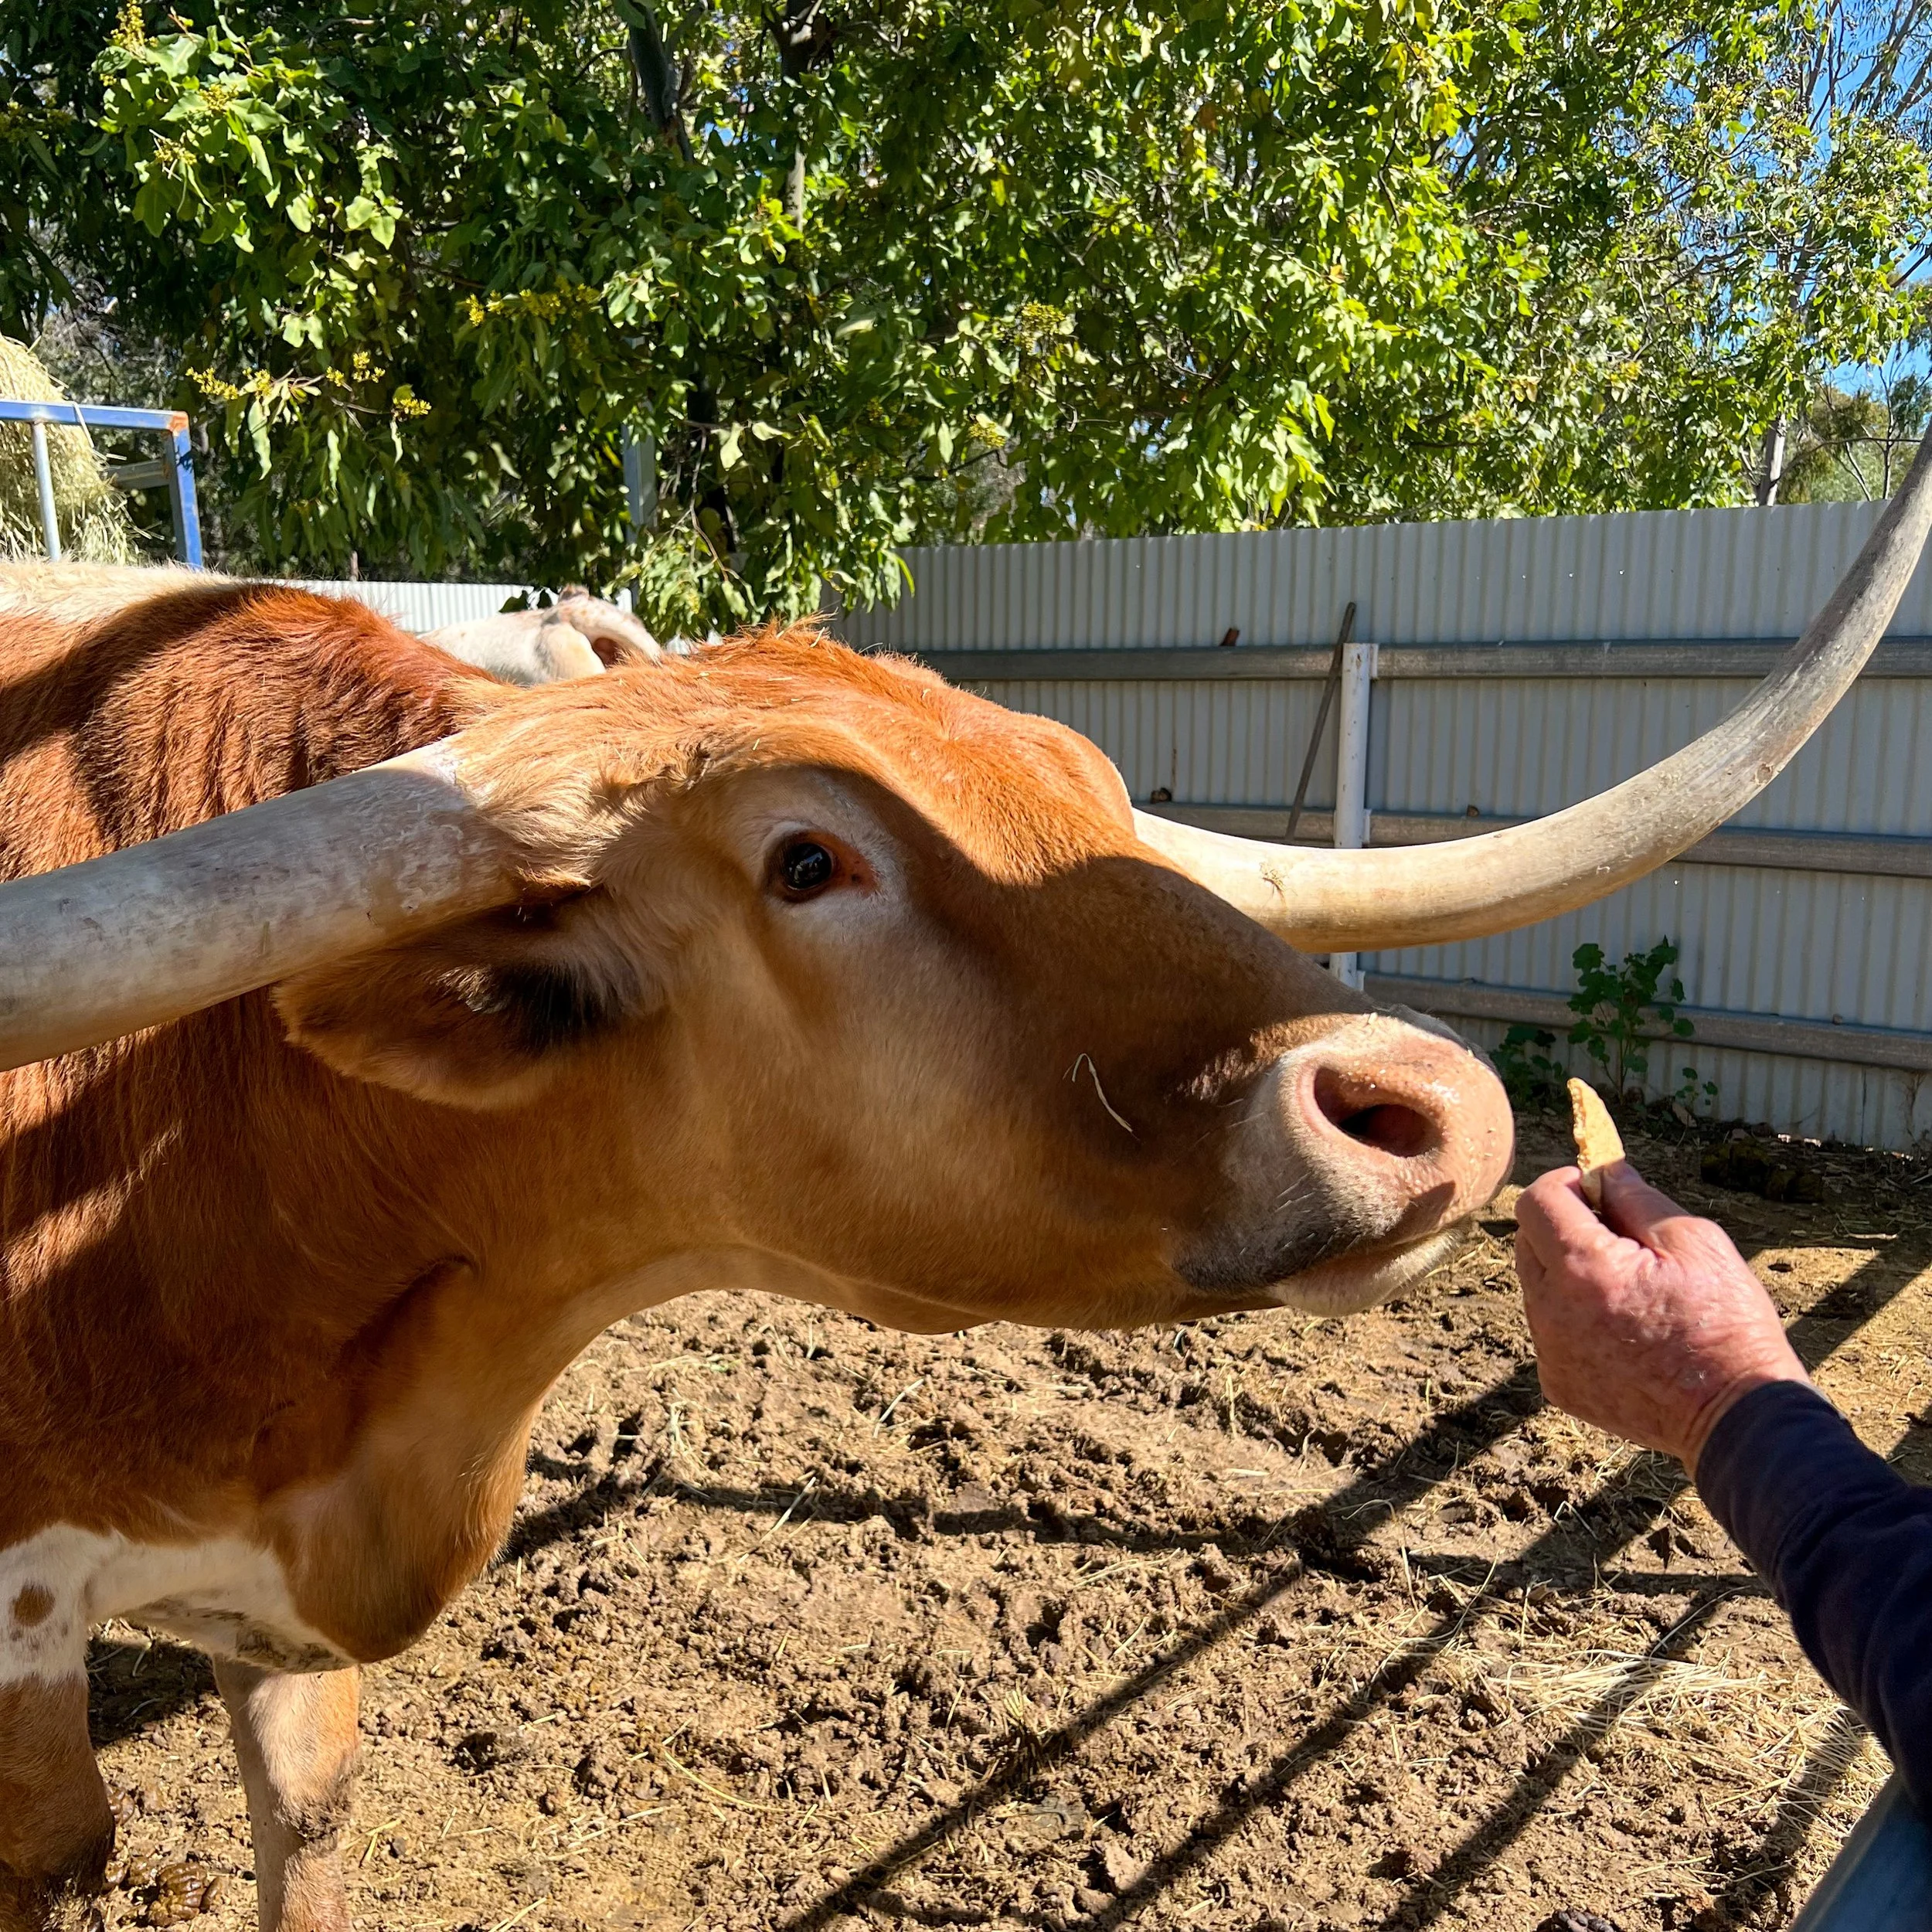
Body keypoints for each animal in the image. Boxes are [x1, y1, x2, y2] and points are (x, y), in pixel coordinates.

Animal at [0, 443, 1927, 1932]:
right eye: (806, 859)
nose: (1432, 1104)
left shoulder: (284, 1626)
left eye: (1081, 784)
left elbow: (307, 1825)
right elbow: (72, 1846)